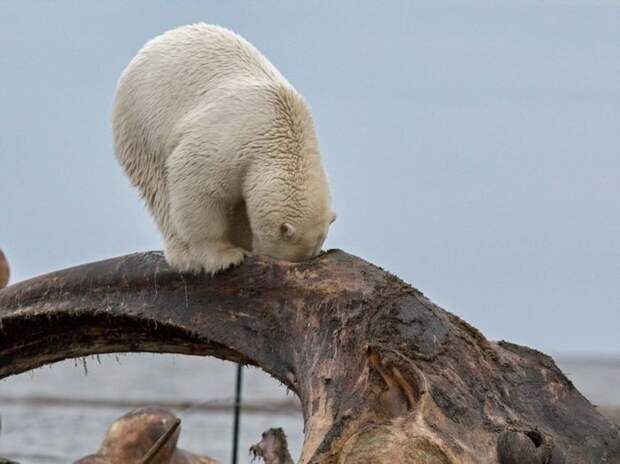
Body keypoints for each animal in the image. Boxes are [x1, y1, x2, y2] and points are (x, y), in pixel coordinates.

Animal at [111, 23, 334, 274]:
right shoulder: (228, 142)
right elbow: (197, 184)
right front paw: (225, 256)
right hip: (143, 126)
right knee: (159, 190)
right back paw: (183, 256)